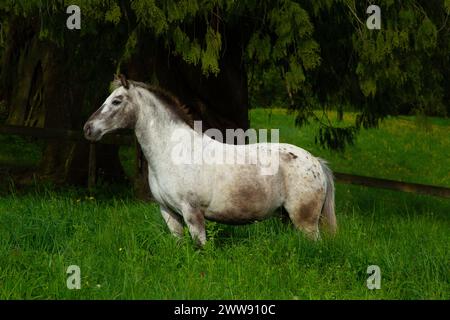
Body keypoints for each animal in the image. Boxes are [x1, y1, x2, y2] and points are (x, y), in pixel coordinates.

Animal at [84, 75, 338, 248]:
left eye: (116, 101)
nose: (88, 128)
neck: (172, 152)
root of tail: (316, 162)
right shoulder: (169, 213)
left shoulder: (192, 213)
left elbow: (200, 248)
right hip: (288, 218)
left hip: (305, 221)